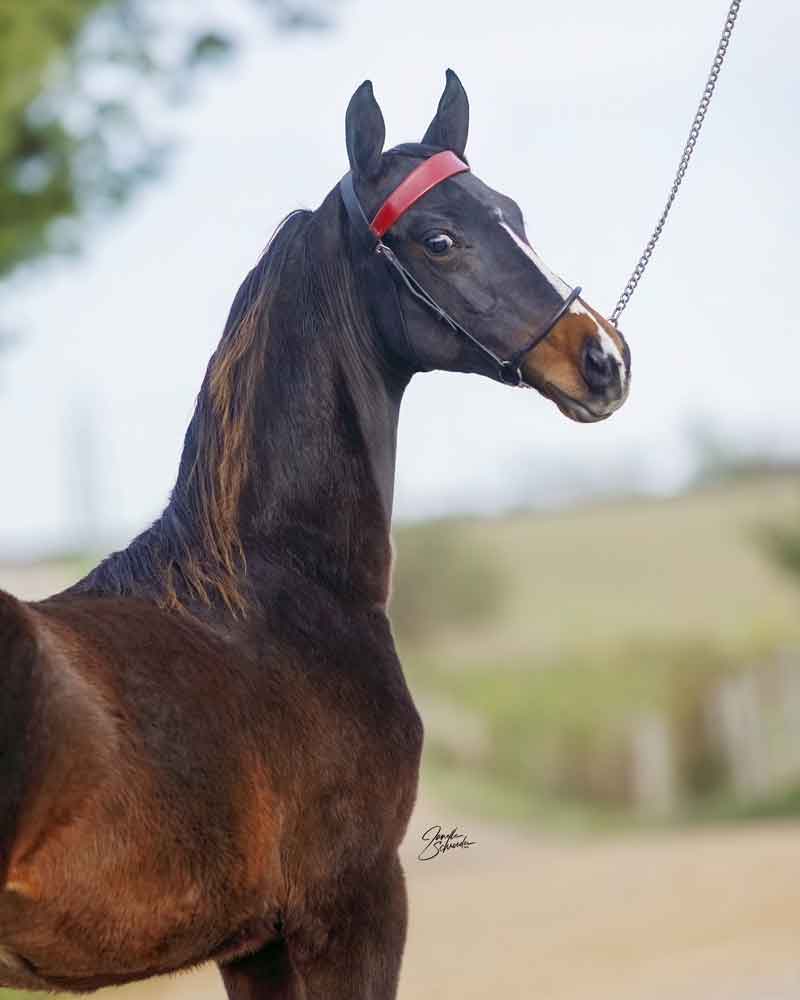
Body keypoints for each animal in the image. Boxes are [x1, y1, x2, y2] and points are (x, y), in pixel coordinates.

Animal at [0, 70, 629, 998]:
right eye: (438, 239)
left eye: (512, 210)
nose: (604, 359)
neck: (275, 590)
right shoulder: (354, 904)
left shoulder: (252, 942)